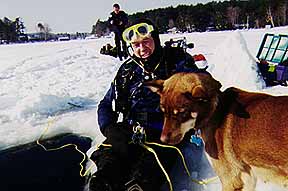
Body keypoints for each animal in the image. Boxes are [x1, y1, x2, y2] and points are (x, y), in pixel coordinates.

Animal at [146, 72, 288, 191]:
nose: (163, 140)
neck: (216, 111)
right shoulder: (246, 178)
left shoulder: (231, 181)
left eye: (182, 112)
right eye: (163, 111)